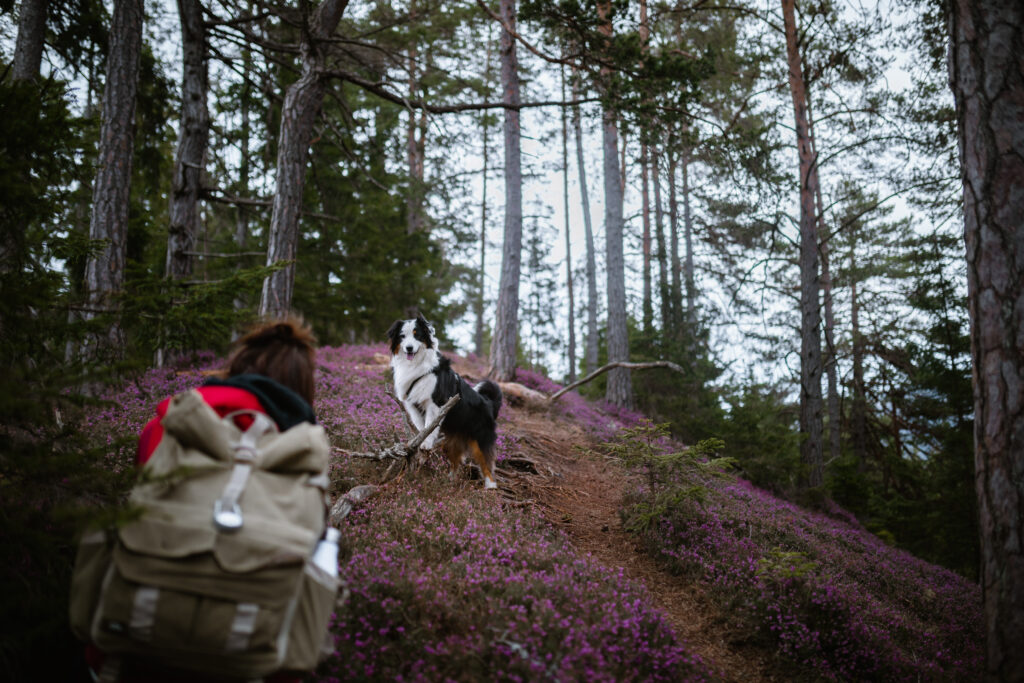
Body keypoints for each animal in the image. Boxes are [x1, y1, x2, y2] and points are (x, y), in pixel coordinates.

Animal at [385, 313, 501, 489]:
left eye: (417, 335)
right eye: (402, 336)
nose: (409, 348)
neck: (416, 365)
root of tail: (488, 402)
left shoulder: (434, 403)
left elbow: (429, 426)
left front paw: (426, 443)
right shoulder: (412, 405)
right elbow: (422, 427)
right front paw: (420, 442)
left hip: (480, 438)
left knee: (487, 463)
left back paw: (490, 488)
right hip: (453, 440)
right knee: (456, 461)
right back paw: (449, 482)